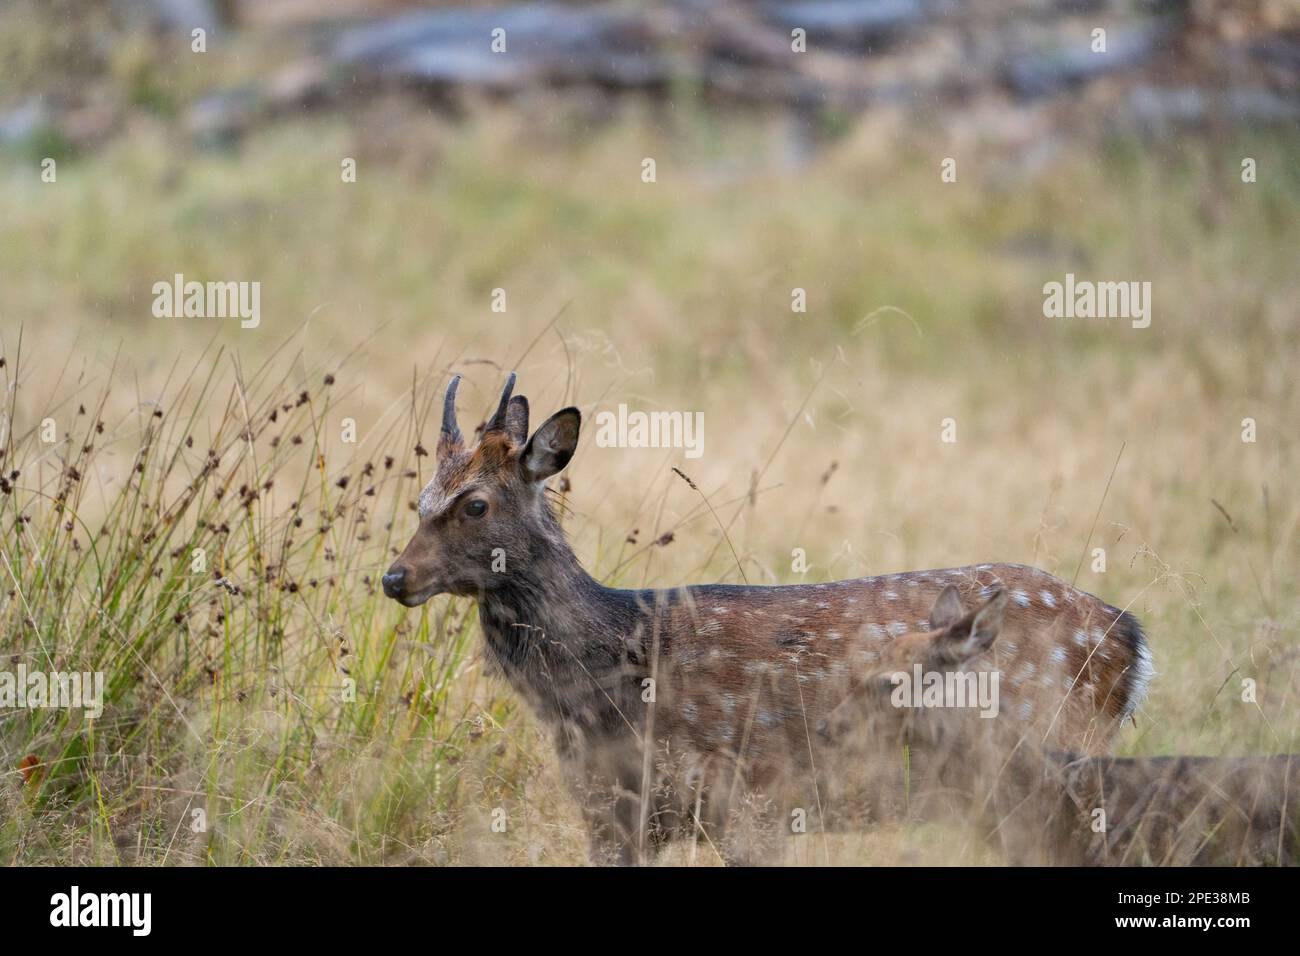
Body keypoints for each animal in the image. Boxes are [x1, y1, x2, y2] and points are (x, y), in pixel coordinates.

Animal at [379, 374, 1154, 868]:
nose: (394, 577)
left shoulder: (748, 800)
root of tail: (1127, 637)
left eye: (475, 504)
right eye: (420, 500)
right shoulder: (611, 815)